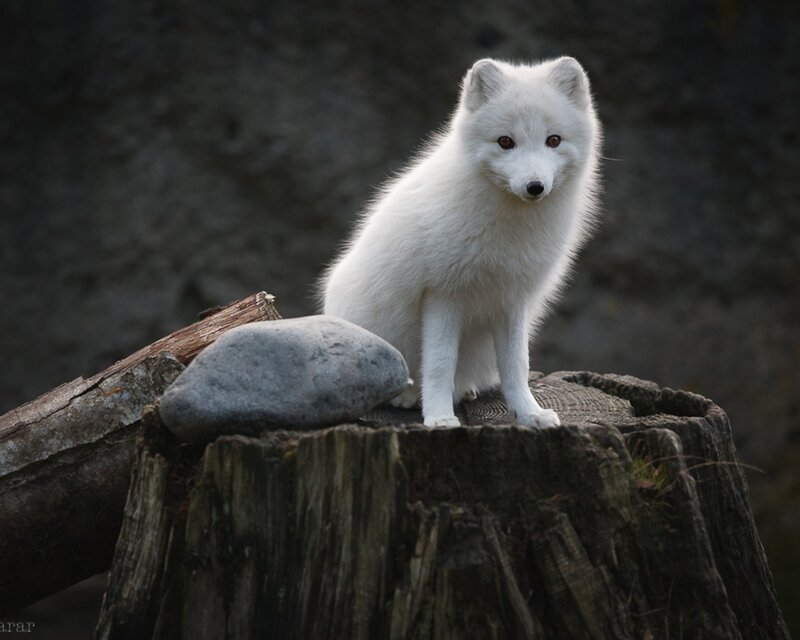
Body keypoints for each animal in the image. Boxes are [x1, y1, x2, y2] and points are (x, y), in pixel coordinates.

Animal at [321, 56, 602, 427]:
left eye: (553, 140)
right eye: (505, 142)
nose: (535, 187)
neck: (508, 228)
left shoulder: (511, 299)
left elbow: (517, 365)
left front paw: (529, 414)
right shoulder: (442, 294)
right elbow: (440, 364)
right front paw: (439, 417)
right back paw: (409, 395)